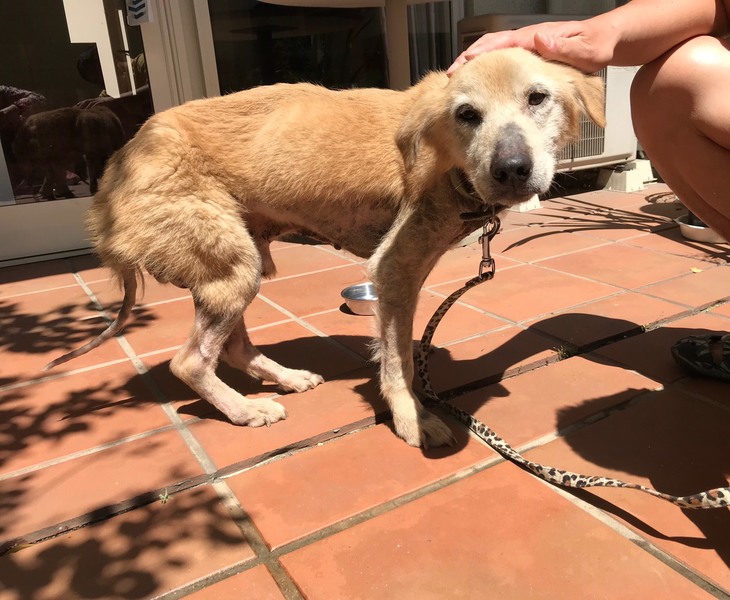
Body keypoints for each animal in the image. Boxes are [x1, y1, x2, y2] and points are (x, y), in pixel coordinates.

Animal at [47, 48, 605, 448]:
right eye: (467, 114)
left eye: (538, 98)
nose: (511, 169)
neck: (449, 162)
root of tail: (110, 179)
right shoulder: (393, 269)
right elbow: (398, 362)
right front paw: (412, 419)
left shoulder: (405, 274)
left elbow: (397, 348)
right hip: (232, 265)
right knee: (189, 363)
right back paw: (245, 410)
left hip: (243, 263)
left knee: (233, 346)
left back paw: (285, 378)